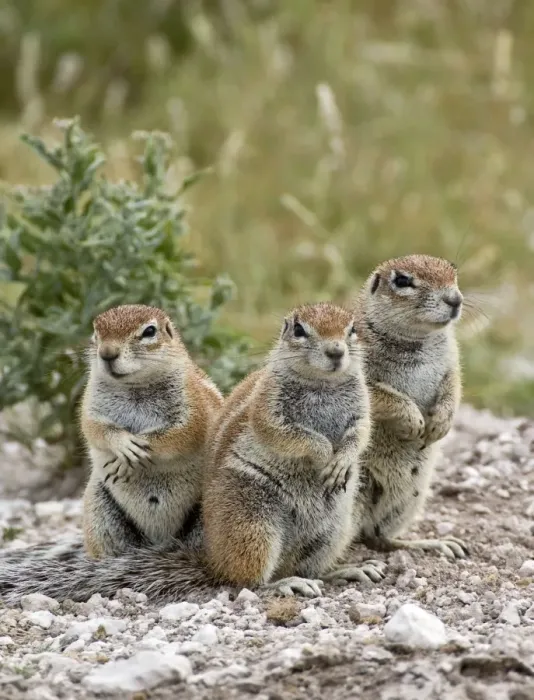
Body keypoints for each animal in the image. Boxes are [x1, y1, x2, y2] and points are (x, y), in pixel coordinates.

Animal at [0, 303, 386, 603]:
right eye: (301, 330)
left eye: (352, 329)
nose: (336, 352)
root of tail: (207, 557)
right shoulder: (268, 408)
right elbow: (284, 433)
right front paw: (321, 450)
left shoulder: (362, 410)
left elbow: (360, 435)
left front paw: (341, 459)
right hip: (251, 524)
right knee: (245, 580)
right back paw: (283, 584)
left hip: (333, 529)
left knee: (310, 566)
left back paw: (346, 570)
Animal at [352, 254, 468, 560]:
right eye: (403, 281)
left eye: (453, 271)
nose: (455, 299)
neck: (418, 339)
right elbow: (381, 396)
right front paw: (413, 421)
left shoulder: (452, 364)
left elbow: (453, 387)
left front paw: (441, 423)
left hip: (409, 500)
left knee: (379, 538)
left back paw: (435, 543)